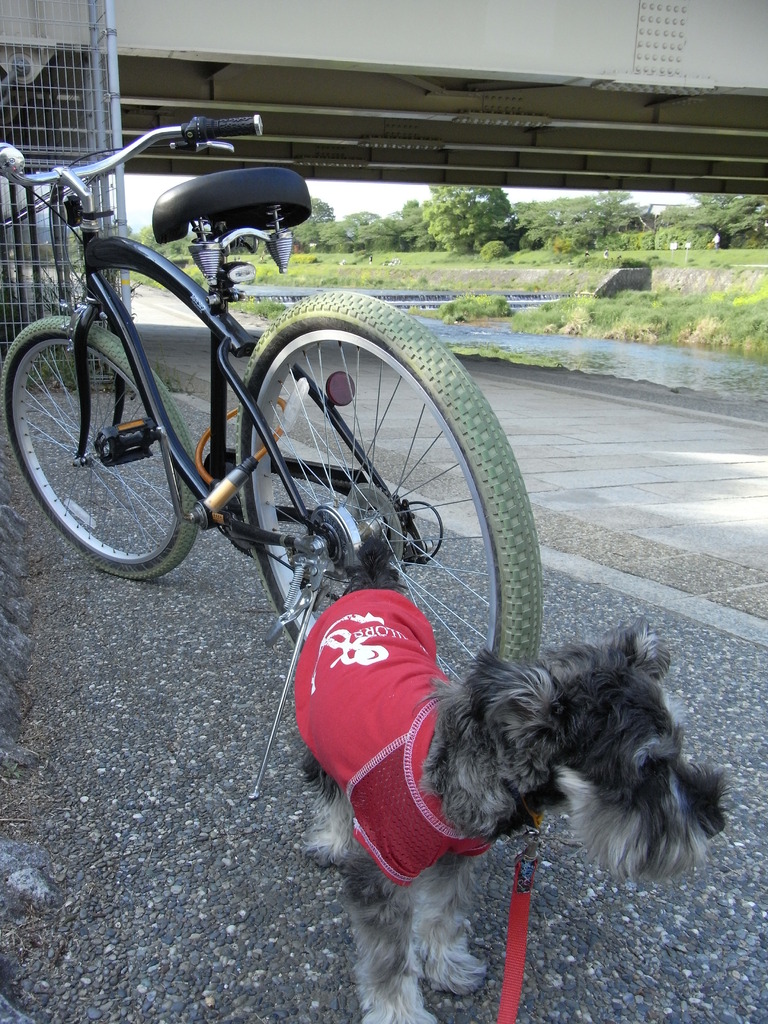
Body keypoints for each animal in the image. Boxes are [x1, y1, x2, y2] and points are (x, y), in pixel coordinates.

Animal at [294, 540, 729, 1019]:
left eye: (679, 743)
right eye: (647, 765)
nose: (716, 819)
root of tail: (368, 583)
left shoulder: (457, 858)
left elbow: (442, 913)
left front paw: (446, 965)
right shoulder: (382, 875)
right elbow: (389, 958)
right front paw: (400, 1013)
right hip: (317, 731)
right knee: (331, 790)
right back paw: (333, 841)